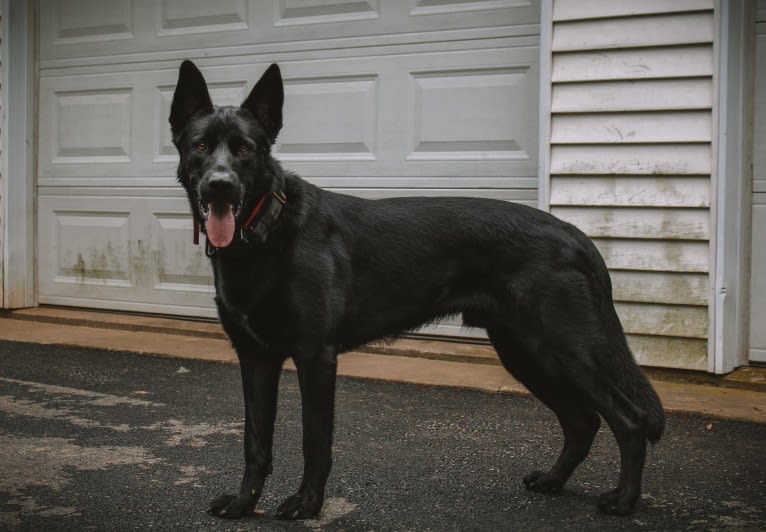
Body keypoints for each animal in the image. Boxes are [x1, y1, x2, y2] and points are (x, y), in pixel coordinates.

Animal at [170, 61, 664, 520]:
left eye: (244, 149)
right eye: (200, 146)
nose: (219, 187)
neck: (266, 233)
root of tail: (574, 234)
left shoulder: (315, 356)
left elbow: (315, 441)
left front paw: (307, 504)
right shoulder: (256, 358)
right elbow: (255, 442)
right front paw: (242, 503)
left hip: (567, 347)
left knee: (629, 419)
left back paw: (624, 500)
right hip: (526, 351)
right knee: (581, 420)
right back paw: (554, 481)